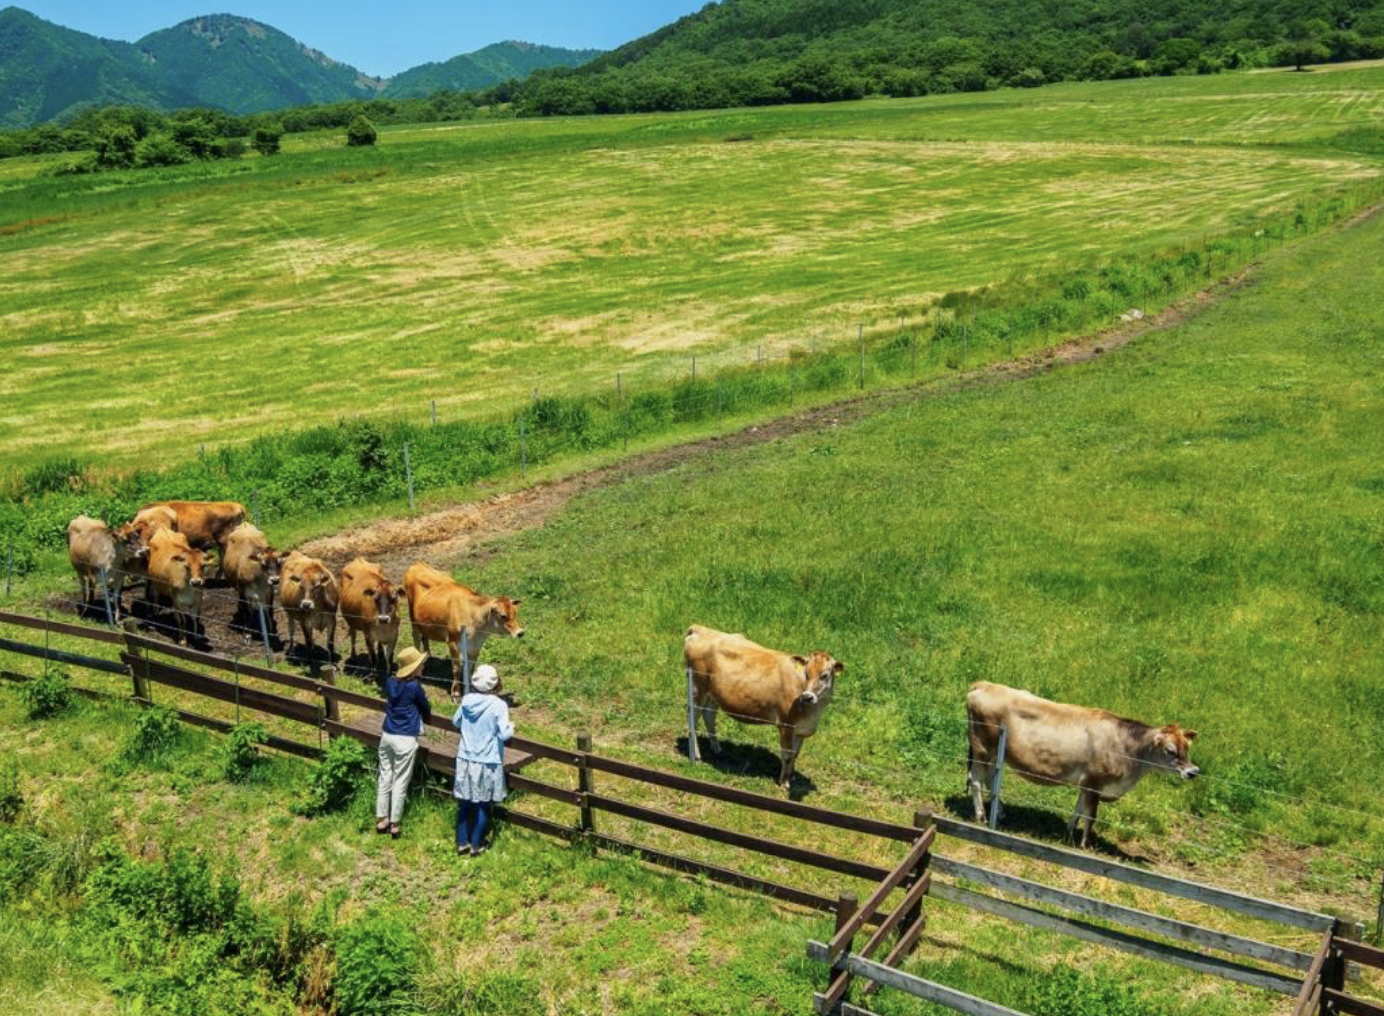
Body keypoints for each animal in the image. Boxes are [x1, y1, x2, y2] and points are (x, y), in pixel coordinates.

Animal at [406, 564, 525, 700]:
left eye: (515, 612)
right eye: (503, 615)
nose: (520, 632)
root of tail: (418, 564)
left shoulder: (475, 646)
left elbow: (470, 668)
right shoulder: (452, 642)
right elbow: (456, 668)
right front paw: (456, 693)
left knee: (424, 637)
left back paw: (428, 656)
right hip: (413, 618)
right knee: (416, 638)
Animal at [680, 620, 841, 797]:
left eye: (825, 675)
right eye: (806, 673)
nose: (807, 696)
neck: (814, 713)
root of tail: (700, 628)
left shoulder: (802, 729)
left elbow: (795, 754)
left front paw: (791, 776)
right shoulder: (786, 725)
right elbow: (787, 755)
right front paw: (784, 783)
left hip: (713, 693)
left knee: (709, 715)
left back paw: (717, 749)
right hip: (697, 687)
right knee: (693, 718)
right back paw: (696, 755)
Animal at [963, 683, 1201, 852]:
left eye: (1187, 748)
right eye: (1170, 750)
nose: (1193, 771)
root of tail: (982, 685)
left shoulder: (1086, 783)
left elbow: (1079, 809)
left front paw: (1068, 832)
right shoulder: (1095, 781)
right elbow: (1091, 815)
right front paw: (1086, 845)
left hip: (995, 753)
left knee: (990, 778)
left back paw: (999, 812)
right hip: (982, 749)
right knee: (976, 779)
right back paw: (981, 815)